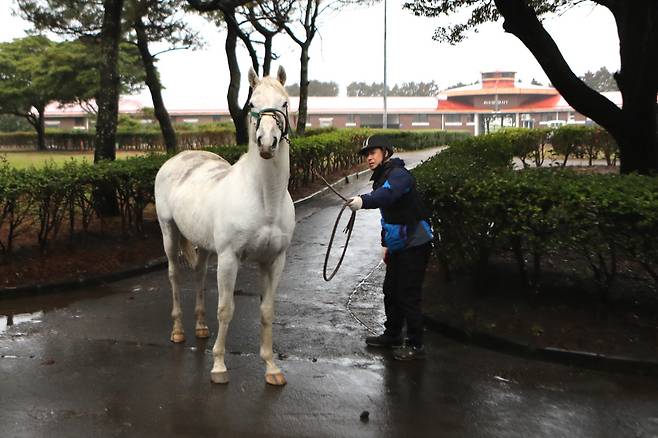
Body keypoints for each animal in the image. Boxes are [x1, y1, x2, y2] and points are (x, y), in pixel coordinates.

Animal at [154, 66, 292, 384]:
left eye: (284, 103)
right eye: (252, 104)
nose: (267, 142)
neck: (265, 199)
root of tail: (179, 158)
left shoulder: (274, 260)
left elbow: (267, 311)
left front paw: (271, 367)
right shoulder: (230, 258)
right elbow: (226, 309)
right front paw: (218, 366)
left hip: (204, 245)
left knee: (200, 276)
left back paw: (201, 327)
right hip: (169, 232)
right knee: (175, 275)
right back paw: (178, 331)